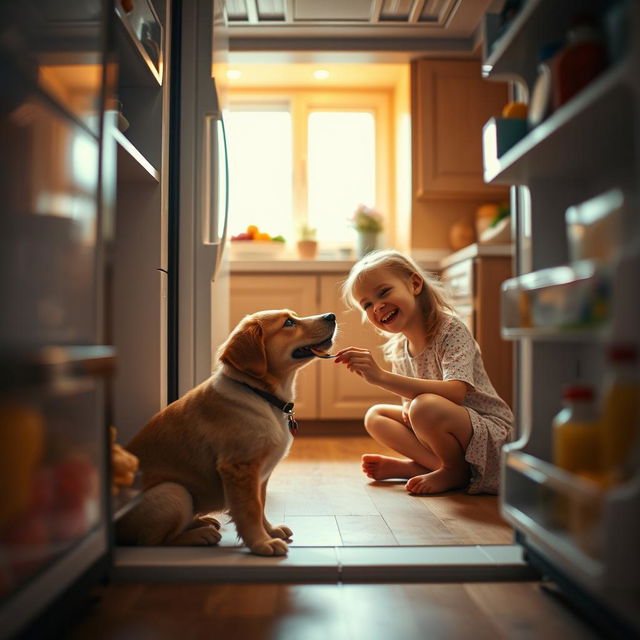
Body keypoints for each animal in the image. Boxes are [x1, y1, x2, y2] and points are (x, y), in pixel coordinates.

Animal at [116, 310, 336, 556]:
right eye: (288, 322)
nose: (331, 316)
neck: (261, 395)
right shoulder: (239, 466)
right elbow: (250, 510)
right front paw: (261, 543)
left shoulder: (259, 475)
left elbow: (260, 504)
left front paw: (269, 531)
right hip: (174, 492)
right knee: (152, 541)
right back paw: (200, 535)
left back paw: (203, 522)